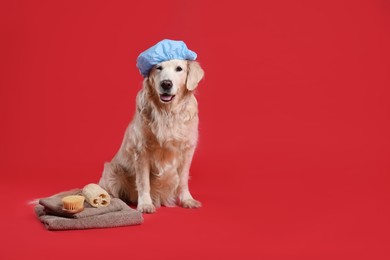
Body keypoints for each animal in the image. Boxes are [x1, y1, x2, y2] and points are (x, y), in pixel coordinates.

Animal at [98, 59, 204, 213]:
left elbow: (183, 180)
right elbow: (143, 182)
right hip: (112, 171)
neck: (167, 113)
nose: (166, 84)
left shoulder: (187, 150)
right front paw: (145, 204)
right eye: (158, 68)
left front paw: (187, 200)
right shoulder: (141, 152)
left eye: (179, 69)